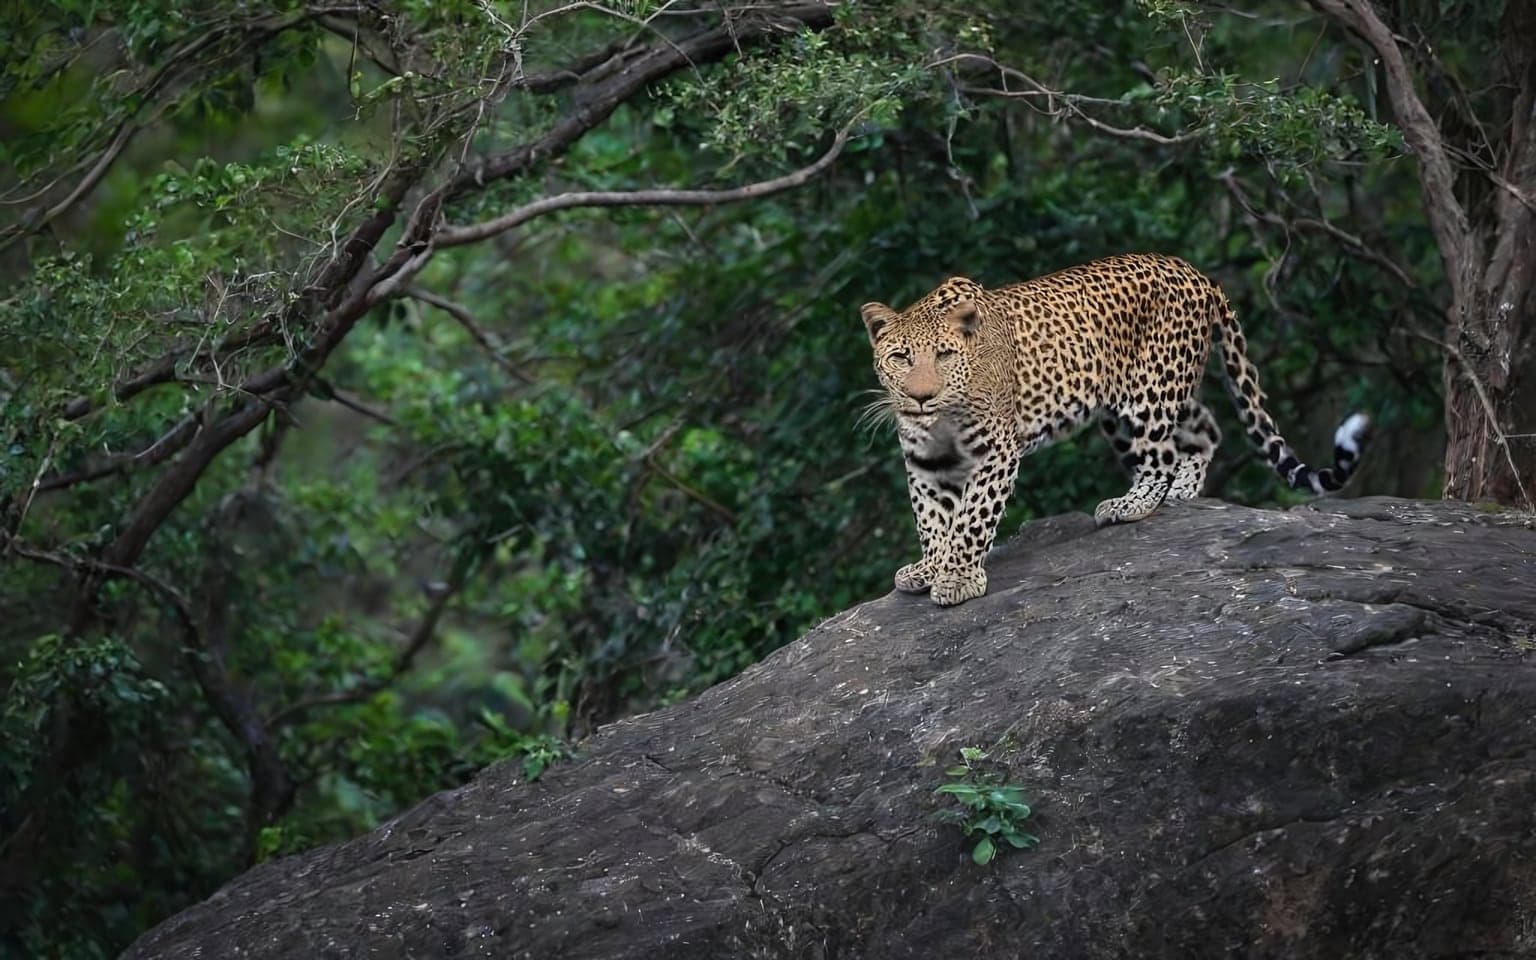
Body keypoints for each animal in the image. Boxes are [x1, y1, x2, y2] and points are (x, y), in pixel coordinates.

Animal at [859, 253, 1369, 607]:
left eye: (945, 355)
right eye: (901, 358)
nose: (922, 397)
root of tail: (1197, 272)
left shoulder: (996, 451)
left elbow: (971, 518)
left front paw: (959, 578)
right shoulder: (927, 460)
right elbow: (932, 519)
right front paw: (930, 568)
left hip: (1149, 392)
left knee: (1162, 457)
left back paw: (1132, 504)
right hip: (1137, 402)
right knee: (1206, 429)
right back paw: (1181, 492)